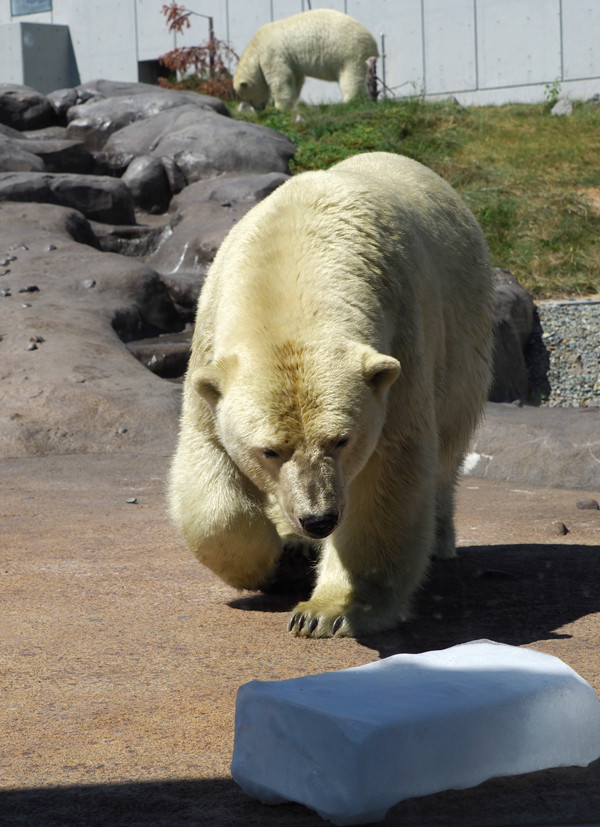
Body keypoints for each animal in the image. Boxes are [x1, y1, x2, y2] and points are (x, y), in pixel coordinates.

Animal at [168, 150, 492, 640]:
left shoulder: (401, 346)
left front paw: (330, 610)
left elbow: (386, 473)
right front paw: (274, 564)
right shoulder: (209, 358)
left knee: (445, 454)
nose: (318, 519)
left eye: (341, 440)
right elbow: (209, 471)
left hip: (462, 343)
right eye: (269, 450)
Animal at [232, 9, 378, 110]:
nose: (260, 108)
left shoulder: (271, 54)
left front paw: (279, 107)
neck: (255, 47)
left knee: (352, 78)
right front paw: (290, 104)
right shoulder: (292, 61)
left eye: (248, 99)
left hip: (350, 53)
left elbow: (280, 79)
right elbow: (294, 80)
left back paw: (350, 102)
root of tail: (373, 42)